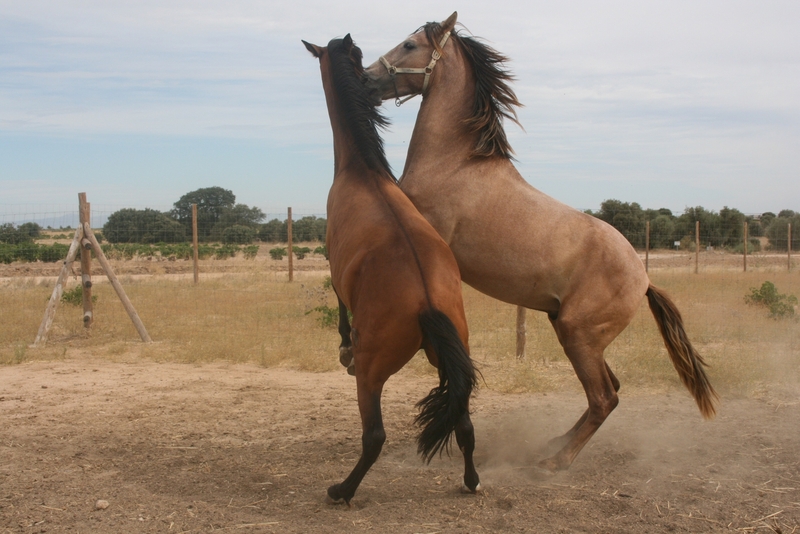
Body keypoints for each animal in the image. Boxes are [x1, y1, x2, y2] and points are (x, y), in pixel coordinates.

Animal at [302, 34, 480, 505]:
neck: (362, 171)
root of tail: (428, 303)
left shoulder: (335, 268)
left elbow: (339, 308)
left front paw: (343, 345)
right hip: (451, 360)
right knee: (465, 425)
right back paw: (472, 480)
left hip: (371, 374)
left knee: (374, 437)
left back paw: (341, 490)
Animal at [355, 12, 718, 473]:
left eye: (409, 45)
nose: (366, 80)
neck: (454, 164)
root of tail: (644, 278)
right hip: (574, 333)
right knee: (610, 390)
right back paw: (553, 444)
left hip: (579, 334)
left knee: (605, 397)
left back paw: (555, 461)